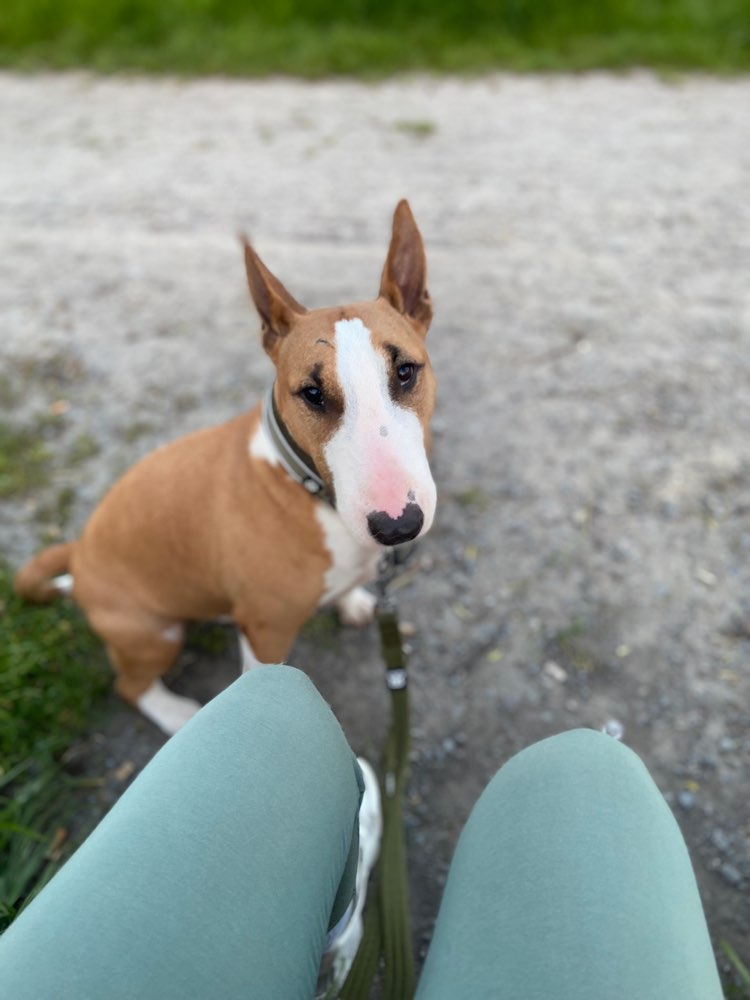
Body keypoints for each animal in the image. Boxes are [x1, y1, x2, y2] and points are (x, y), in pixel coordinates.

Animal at [14, 201, 438, 736]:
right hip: (154, 633)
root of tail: (79, 553)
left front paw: (353, 601)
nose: (398, 525)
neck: (302, 484)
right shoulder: (265, 633)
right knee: (130, 685)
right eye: (312, 393)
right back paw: (178, 715)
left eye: (405, 371)